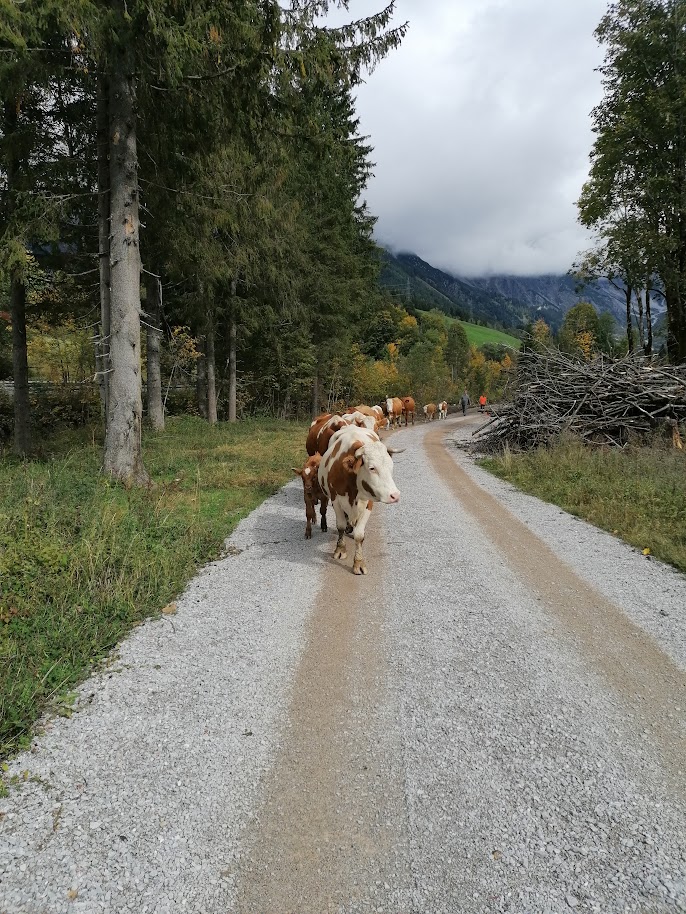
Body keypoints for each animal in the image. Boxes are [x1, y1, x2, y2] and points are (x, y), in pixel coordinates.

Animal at [318, 425, 402, 575]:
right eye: (372, 468)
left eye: (391, 466)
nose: (395, 495)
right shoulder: (335, 500)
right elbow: (340, 526)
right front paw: (340, 549)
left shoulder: (369, 502)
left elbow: (359, 535)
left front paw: (358, 562)